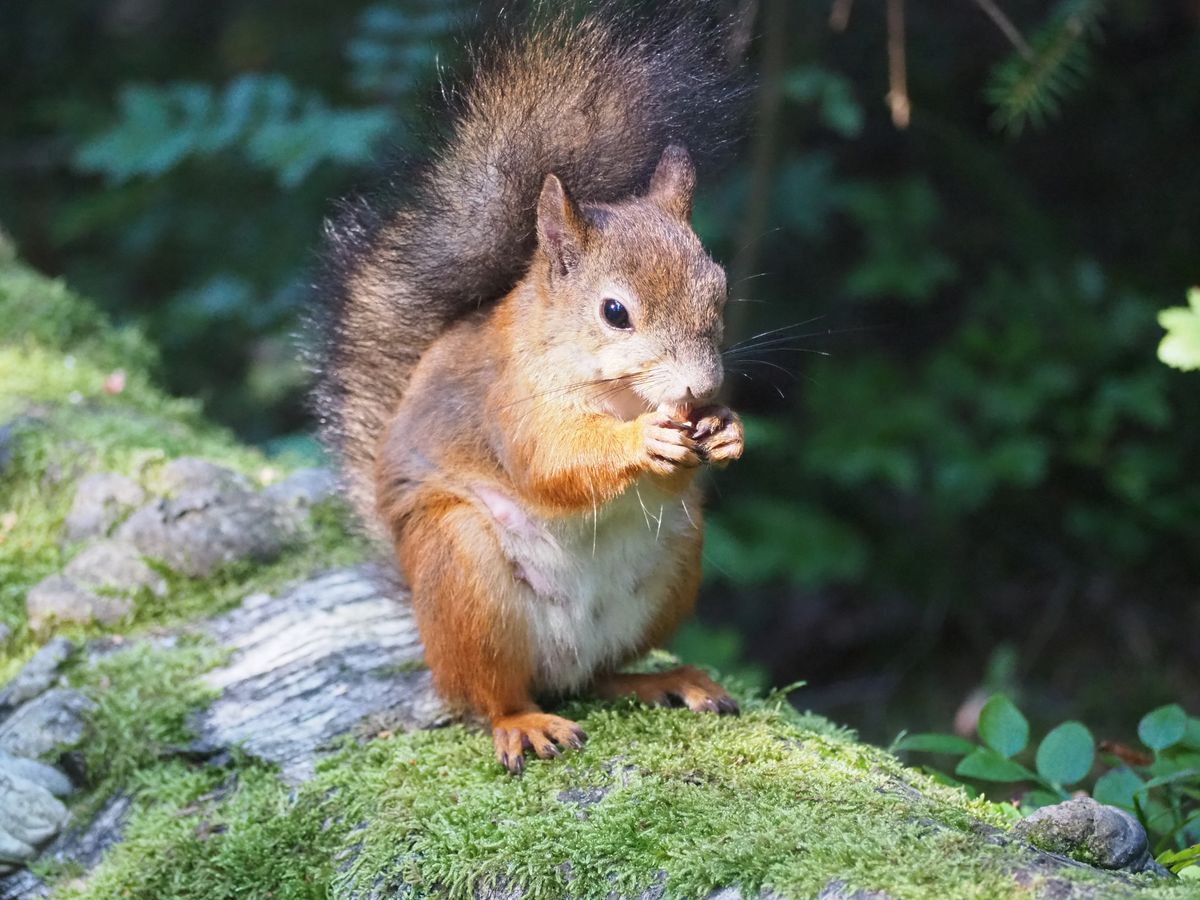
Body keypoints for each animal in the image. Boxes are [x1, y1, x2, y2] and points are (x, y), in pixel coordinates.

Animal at [314, 0, 753, 777]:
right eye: (615, 312)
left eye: (720, 290)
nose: (702, 385)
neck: (614, 392)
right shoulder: (509, 403)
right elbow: (551, 461)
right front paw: (643, 439)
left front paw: (724, 427)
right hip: (464, 572)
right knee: (489, 694)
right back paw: (523, 723)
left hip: (674, 564)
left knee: (602, 674)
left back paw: (664, 680)